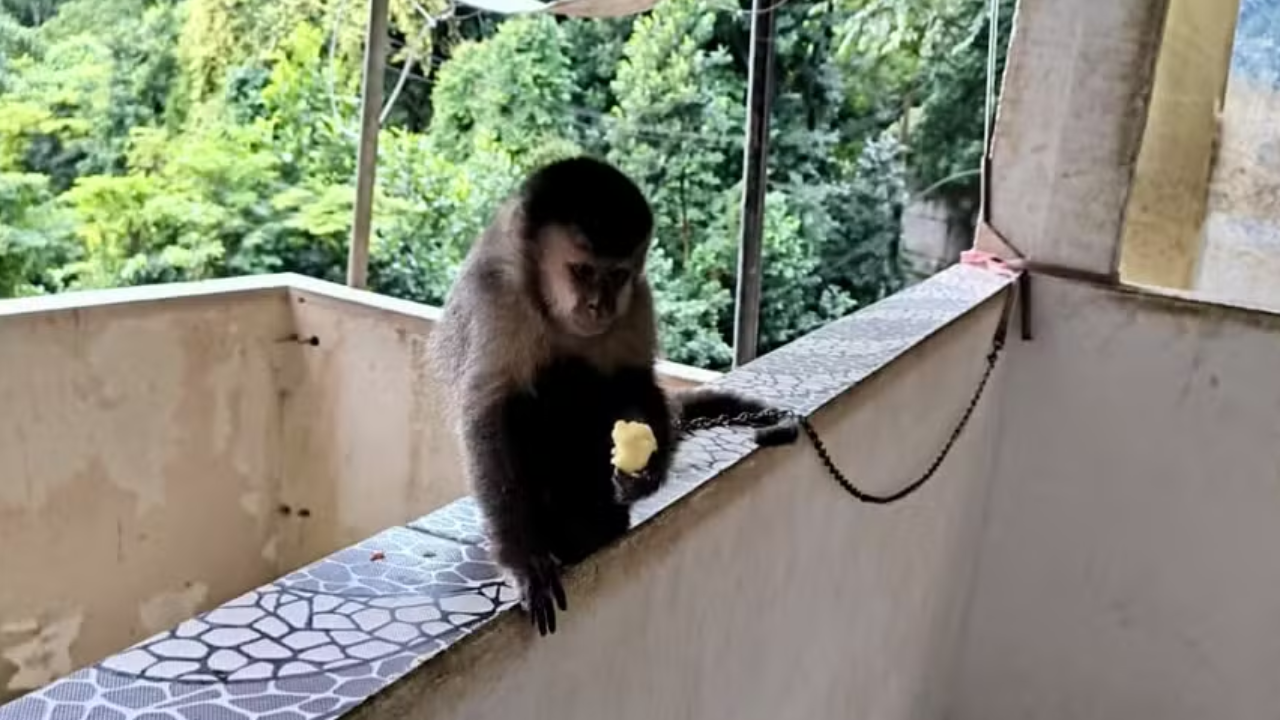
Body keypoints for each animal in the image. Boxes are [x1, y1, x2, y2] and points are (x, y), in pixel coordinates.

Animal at [429, 156, 795, 636]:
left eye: (617, 275)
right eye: (583, 271)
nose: (598, 306)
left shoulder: (638, 298)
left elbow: (634, 382)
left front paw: (644, 473)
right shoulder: (498, 298)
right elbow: (488, 412)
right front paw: (523, 558)